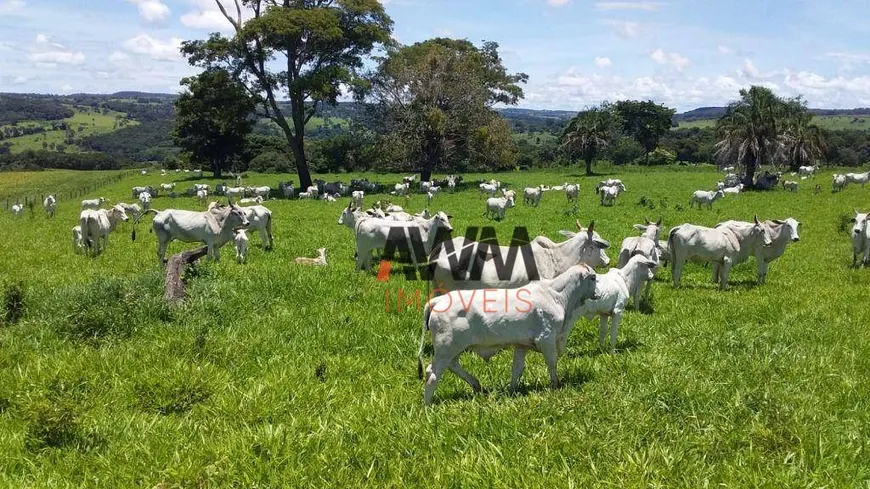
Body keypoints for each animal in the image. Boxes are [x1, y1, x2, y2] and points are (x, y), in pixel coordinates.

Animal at [420, 264, 600, 404]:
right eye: (593, 277)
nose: (598, 293)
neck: (556, 295)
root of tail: (439, 300)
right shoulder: (546, 338)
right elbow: (552, 363)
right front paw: (555, 385)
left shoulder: (521, 345)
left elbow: (517, 368)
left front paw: (511, 390)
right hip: (447, 348)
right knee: (432, 374)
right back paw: (427, 406)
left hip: (453, 349)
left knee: (452, 365)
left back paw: (476, 384)